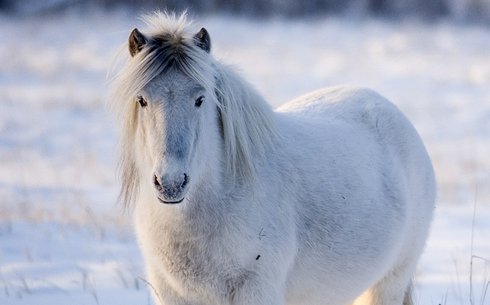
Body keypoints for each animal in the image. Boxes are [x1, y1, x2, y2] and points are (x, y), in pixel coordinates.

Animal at [109, 12, 434, 305]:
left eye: (200, 99)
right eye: (142, 99)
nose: (171, 183)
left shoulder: (256, 289)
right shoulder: (171, 293)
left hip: (390, 281)